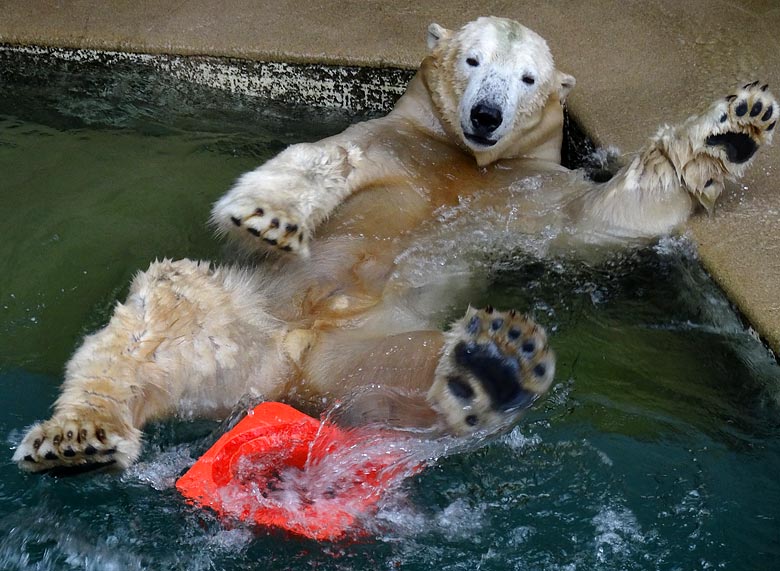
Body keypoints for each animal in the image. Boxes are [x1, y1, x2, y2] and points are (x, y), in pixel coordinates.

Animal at [12, 16, 772, 474]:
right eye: (472, 60)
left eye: (527, 77)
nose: (486, 114)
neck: (461, 161)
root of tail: (285, 375)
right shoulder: (388, 143)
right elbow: (322, 163)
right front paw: (267, 217)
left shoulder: (525, 194)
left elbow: (601, 218)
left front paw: (737, 125)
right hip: (240, 323)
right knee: (158, 317)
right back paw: (77, 433)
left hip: (366, 354)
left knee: (411, 379)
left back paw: (491, 368)